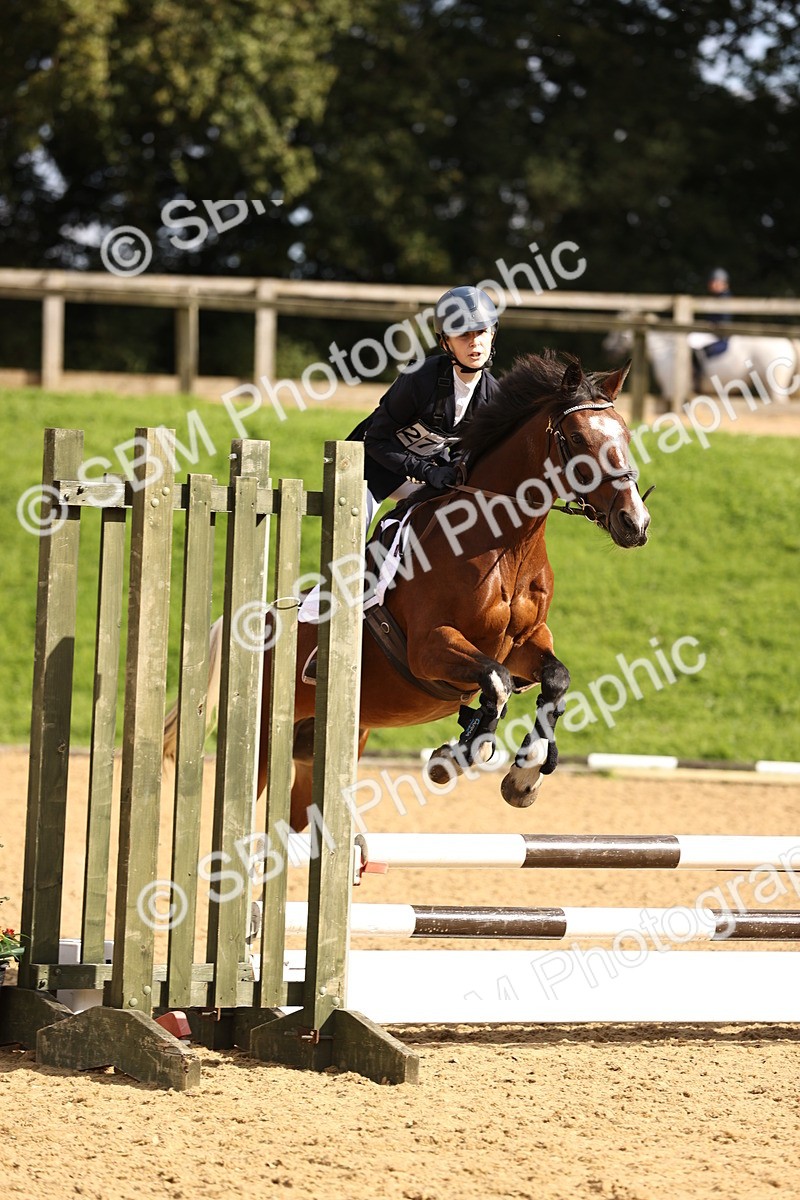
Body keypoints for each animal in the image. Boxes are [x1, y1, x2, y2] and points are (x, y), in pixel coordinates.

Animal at [164, 351, 652, 830]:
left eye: (626, 433)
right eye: (576, 436)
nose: (635, 523)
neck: (505, 545)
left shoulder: (527, 643)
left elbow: (554, 679)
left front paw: (525, 775)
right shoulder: (430, 646)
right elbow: (495, 681)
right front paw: (457, 755)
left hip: (316, 746)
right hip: (264, 741)